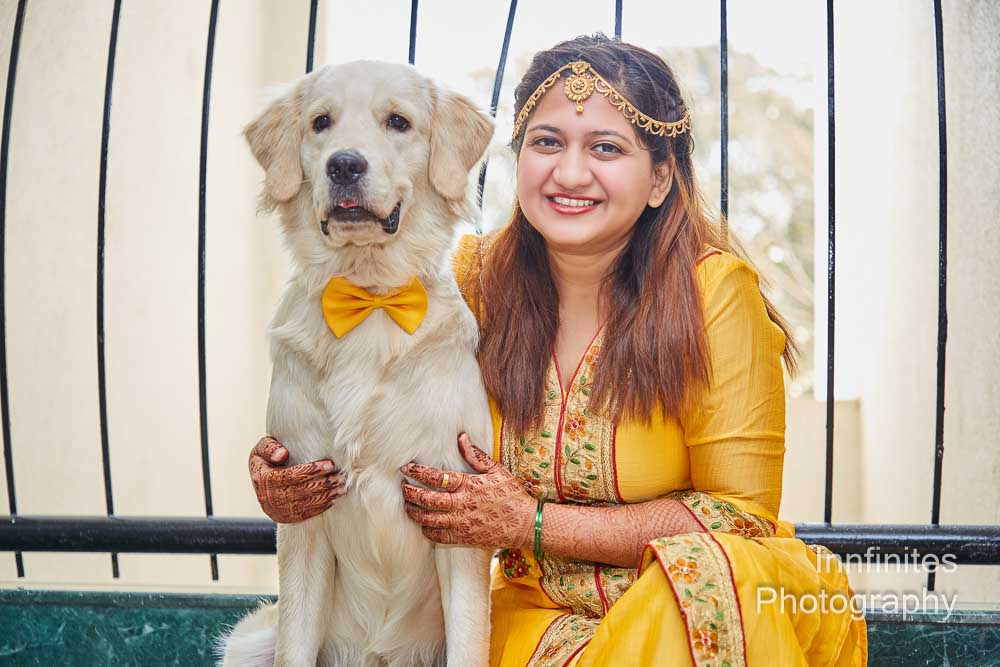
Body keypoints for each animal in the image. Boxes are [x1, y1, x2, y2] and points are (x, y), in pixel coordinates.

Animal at [215, 60, 496, 667]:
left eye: (399, 122)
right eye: (321, 122)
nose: (344, 164)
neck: (368, 298)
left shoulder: (456, 512)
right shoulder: (304, 511)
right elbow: (296, 644)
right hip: (250, 641)